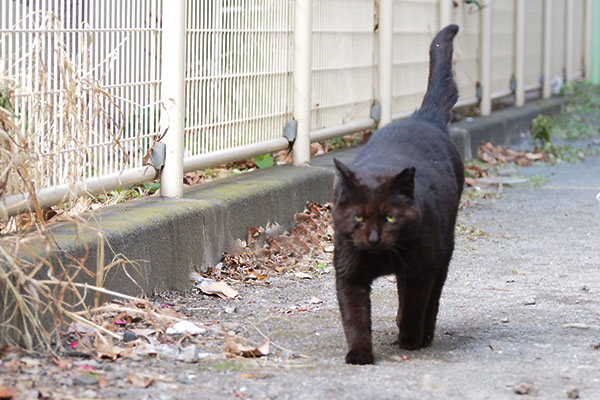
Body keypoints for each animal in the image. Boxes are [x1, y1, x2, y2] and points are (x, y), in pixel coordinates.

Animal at [330, 23, 462, 364]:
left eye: (390, 217)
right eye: (358, 217)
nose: (374, 238)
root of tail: (423, 117)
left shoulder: (420, 269)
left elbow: (415, 306)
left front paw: (410, 341)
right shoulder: (348, 274)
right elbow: (355, 317)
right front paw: (359, 354)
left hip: (443, 251)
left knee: (432, 298)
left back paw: (424, 335)